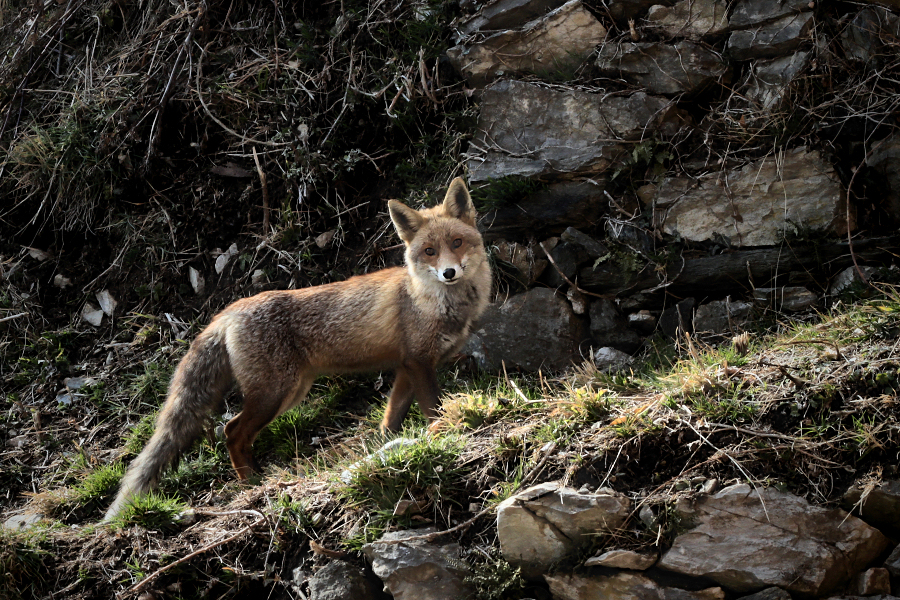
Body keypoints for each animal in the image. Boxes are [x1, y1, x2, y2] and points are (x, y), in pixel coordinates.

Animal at [104, 177, 492, 520]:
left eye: (457, 242)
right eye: (429, 251)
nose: (449, 273)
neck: (435, 302)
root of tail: (229, 310)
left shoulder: (406, 367)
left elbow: (391, 417)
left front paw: (389, 445)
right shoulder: (419, 362)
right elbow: (433, 408)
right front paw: (443, 433)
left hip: (290, 392)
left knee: (232, 431)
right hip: (274, 393)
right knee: (232, 432)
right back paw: (252, 483)